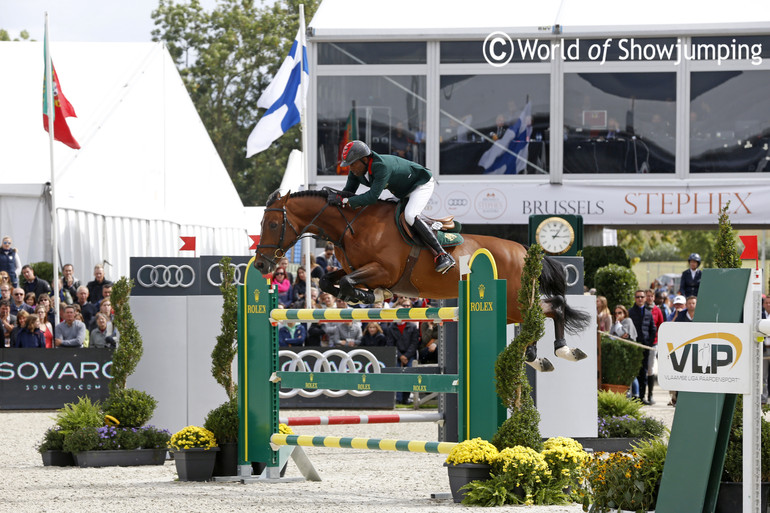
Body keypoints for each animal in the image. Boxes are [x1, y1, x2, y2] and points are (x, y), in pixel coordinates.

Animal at [255, 190, 592, 370]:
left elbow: (350, 283)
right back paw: (538, 357)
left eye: (271, 223)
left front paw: (374, 296)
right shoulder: (354, 267)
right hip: (510, 308)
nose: (260, 264)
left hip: (513, 301)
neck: (351, 226)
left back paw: (561, 352)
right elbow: (329, 281)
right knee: (538, 315)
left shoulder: (383, 270)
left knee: (549, 310)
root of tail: (524, 250)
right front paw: (369, 295)